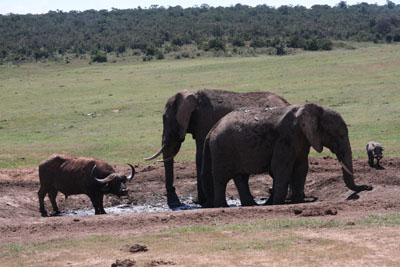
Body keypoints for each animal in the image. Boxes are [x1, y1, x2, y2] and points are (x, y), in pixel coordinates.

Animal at [145, 89, 290, 208]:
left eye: (165, 118)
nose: (173, 191)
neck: (193, 97)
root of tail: (286, 102)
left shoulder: (204, 121)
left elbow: (199, 156)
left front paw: (201, 202)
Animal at [202, 101, 374, 208]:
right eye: (339, 135)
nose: (368, 186)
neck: (315, 110)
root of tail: (212, 129)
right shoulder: (287, 137)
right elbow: (281, 168)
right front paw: (278, 203)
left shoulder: (303, 139)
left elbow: (302, 168)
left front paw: (297, 202)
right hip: (221, 148)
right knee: (222, 178)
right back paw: (222, 206)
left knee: (241, 177)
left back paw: (250, 205)